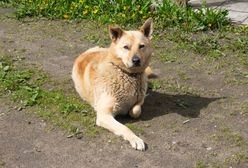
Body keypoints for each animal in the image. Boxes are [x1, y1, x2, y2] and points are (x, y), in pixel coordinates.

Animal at [71, 18, 153, 151]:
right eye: (126, 47)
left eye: (141, 46)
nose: (136, 60)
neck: (127, 75)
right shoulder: (104, 115)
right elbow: (125, 128)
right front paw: (135, 139)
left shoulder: (139, 100)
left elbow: (136, 110)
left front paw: (130, 111)